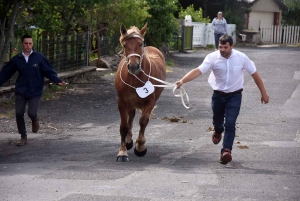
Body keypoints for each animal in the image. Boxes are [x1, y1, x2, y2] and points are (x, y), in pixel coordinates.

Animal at [115, 23, 166, 162]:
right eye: (124, 45)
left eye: (140, 44)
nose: (134, 66)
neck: (134, 79)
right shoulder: (122, 102)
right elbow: (123, 126)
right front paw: (122, 152)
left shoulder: (150, 101)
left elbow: (143, 121)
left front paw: (141, 147)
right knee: (131, 116)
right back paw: (128, 141)